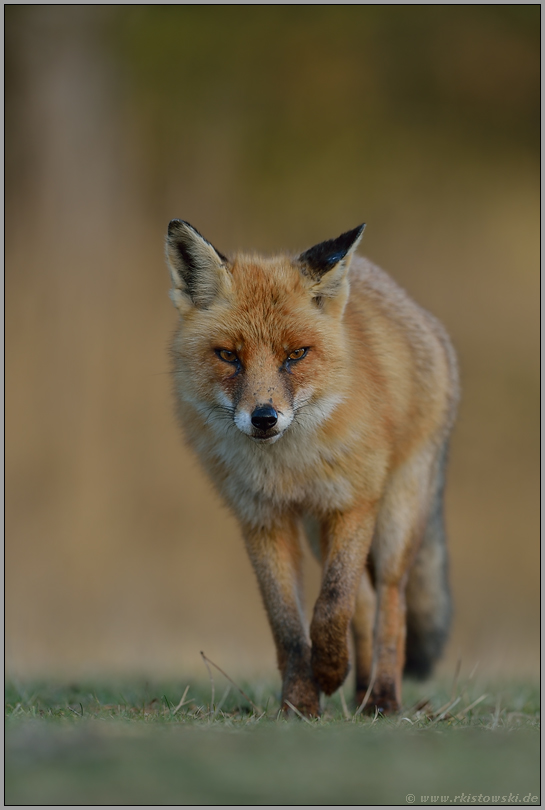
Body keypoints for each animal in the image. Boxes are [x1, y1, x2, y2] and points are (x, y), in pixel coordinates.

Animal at [165, 219, 459, 717]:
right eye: (229, 356)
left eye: (296, 355)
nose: (264, 417)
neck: (289, 469)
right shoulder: (263, 520)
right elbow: (288, 624)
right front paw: (301, 702)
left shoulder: (353, 505)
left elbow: (331, 605)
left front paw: (329, 672)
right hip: (318, 533)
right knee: (366, 602)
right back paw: (360, 691)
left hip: (394, 518)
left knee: (391, 604)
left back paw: (383, 696)